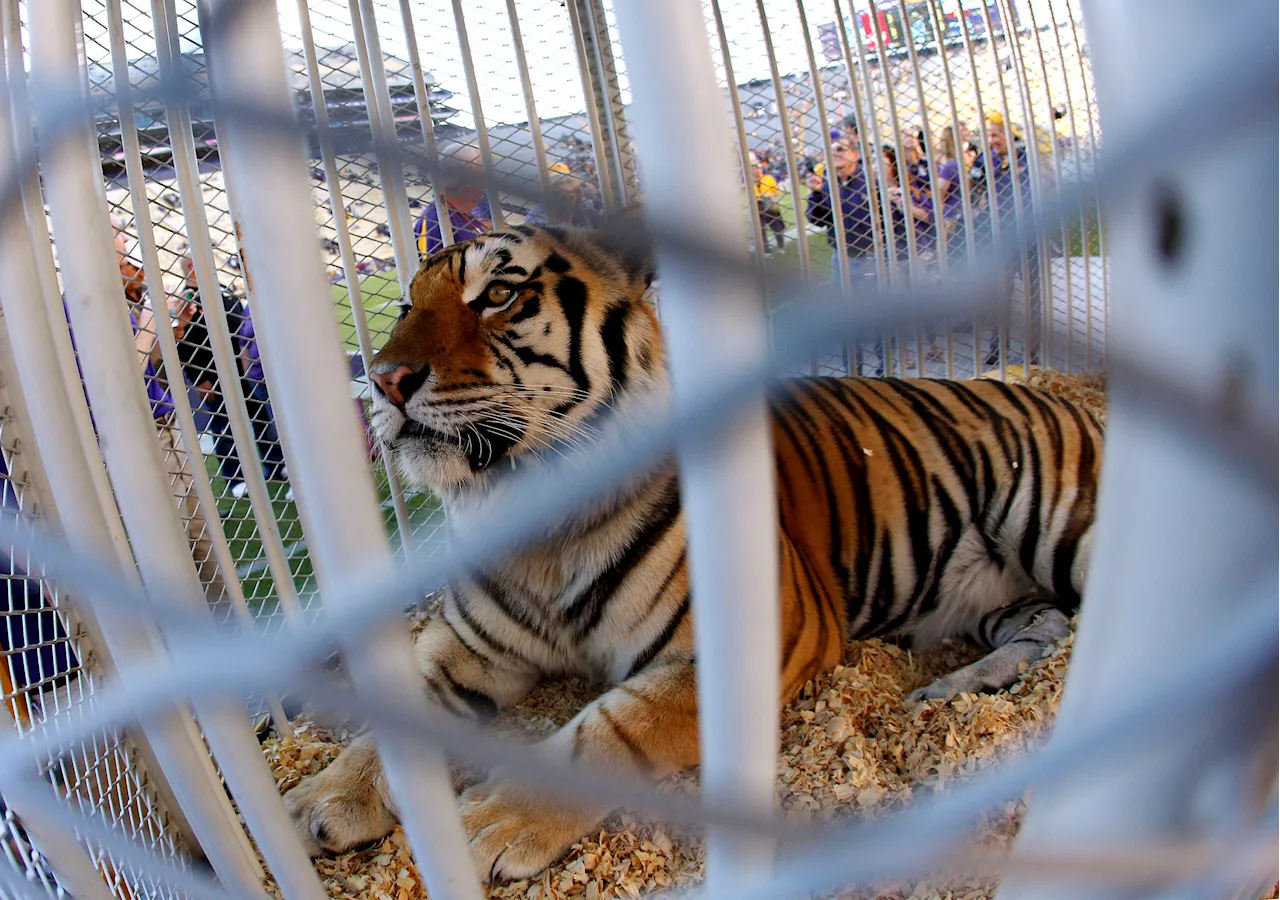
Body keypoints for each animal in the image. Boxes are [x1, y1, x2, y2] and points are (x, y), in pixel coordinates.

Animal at [285, 221, 1105, 885]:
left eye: (500, 294)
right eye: (404, 306)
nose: (383, 379)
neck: (535, 528)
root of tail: (1056, 394)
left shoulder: (752, 643)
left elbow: (605, 731)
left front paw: (489, 821)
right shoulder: (467, 645)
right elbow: (398, 712)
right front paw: (322, 799)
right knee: (1047, 627)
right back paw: (952, 689)